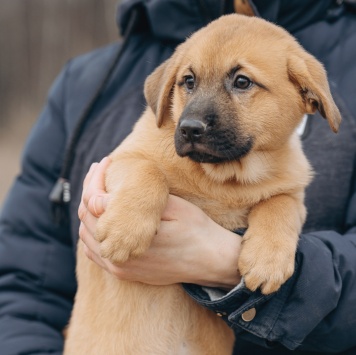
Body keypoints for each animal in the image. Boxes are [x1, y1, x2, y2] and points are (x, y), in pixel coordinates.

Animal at [65, 13, 340, 355]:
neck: (224, 179)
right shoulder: (116, 161)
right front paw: (125, 231)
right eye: (188, 81)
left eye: (242, 82)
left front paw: (269, 261)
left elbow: (279, 205)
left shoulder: (293, 192)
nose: (189, 129)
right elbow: (148, 169)